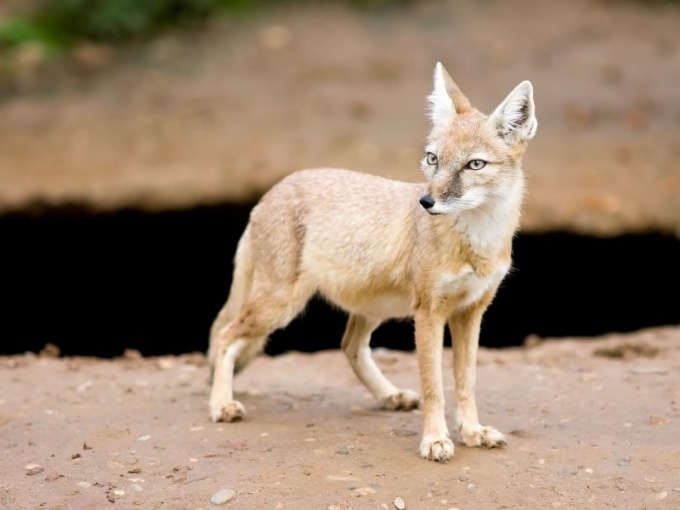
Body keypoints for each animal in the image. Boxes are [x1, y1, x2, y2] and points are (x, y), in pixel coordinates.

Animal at [207, 62, 536, 462]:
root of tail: (271, 191)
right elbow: (434, 387)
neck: (477, 243)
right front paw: (435, 439)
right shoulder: (429, 312)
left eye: (474, 165)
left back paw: (389, 396)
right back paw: (221, 404)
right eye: (433, 159)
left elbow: (466, 382)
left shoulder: (471, 312)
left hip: (371, 309)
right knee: (225, 335)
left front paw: (472, 431)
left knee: (350, 346)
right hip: (280, 306)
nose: (426, 202)